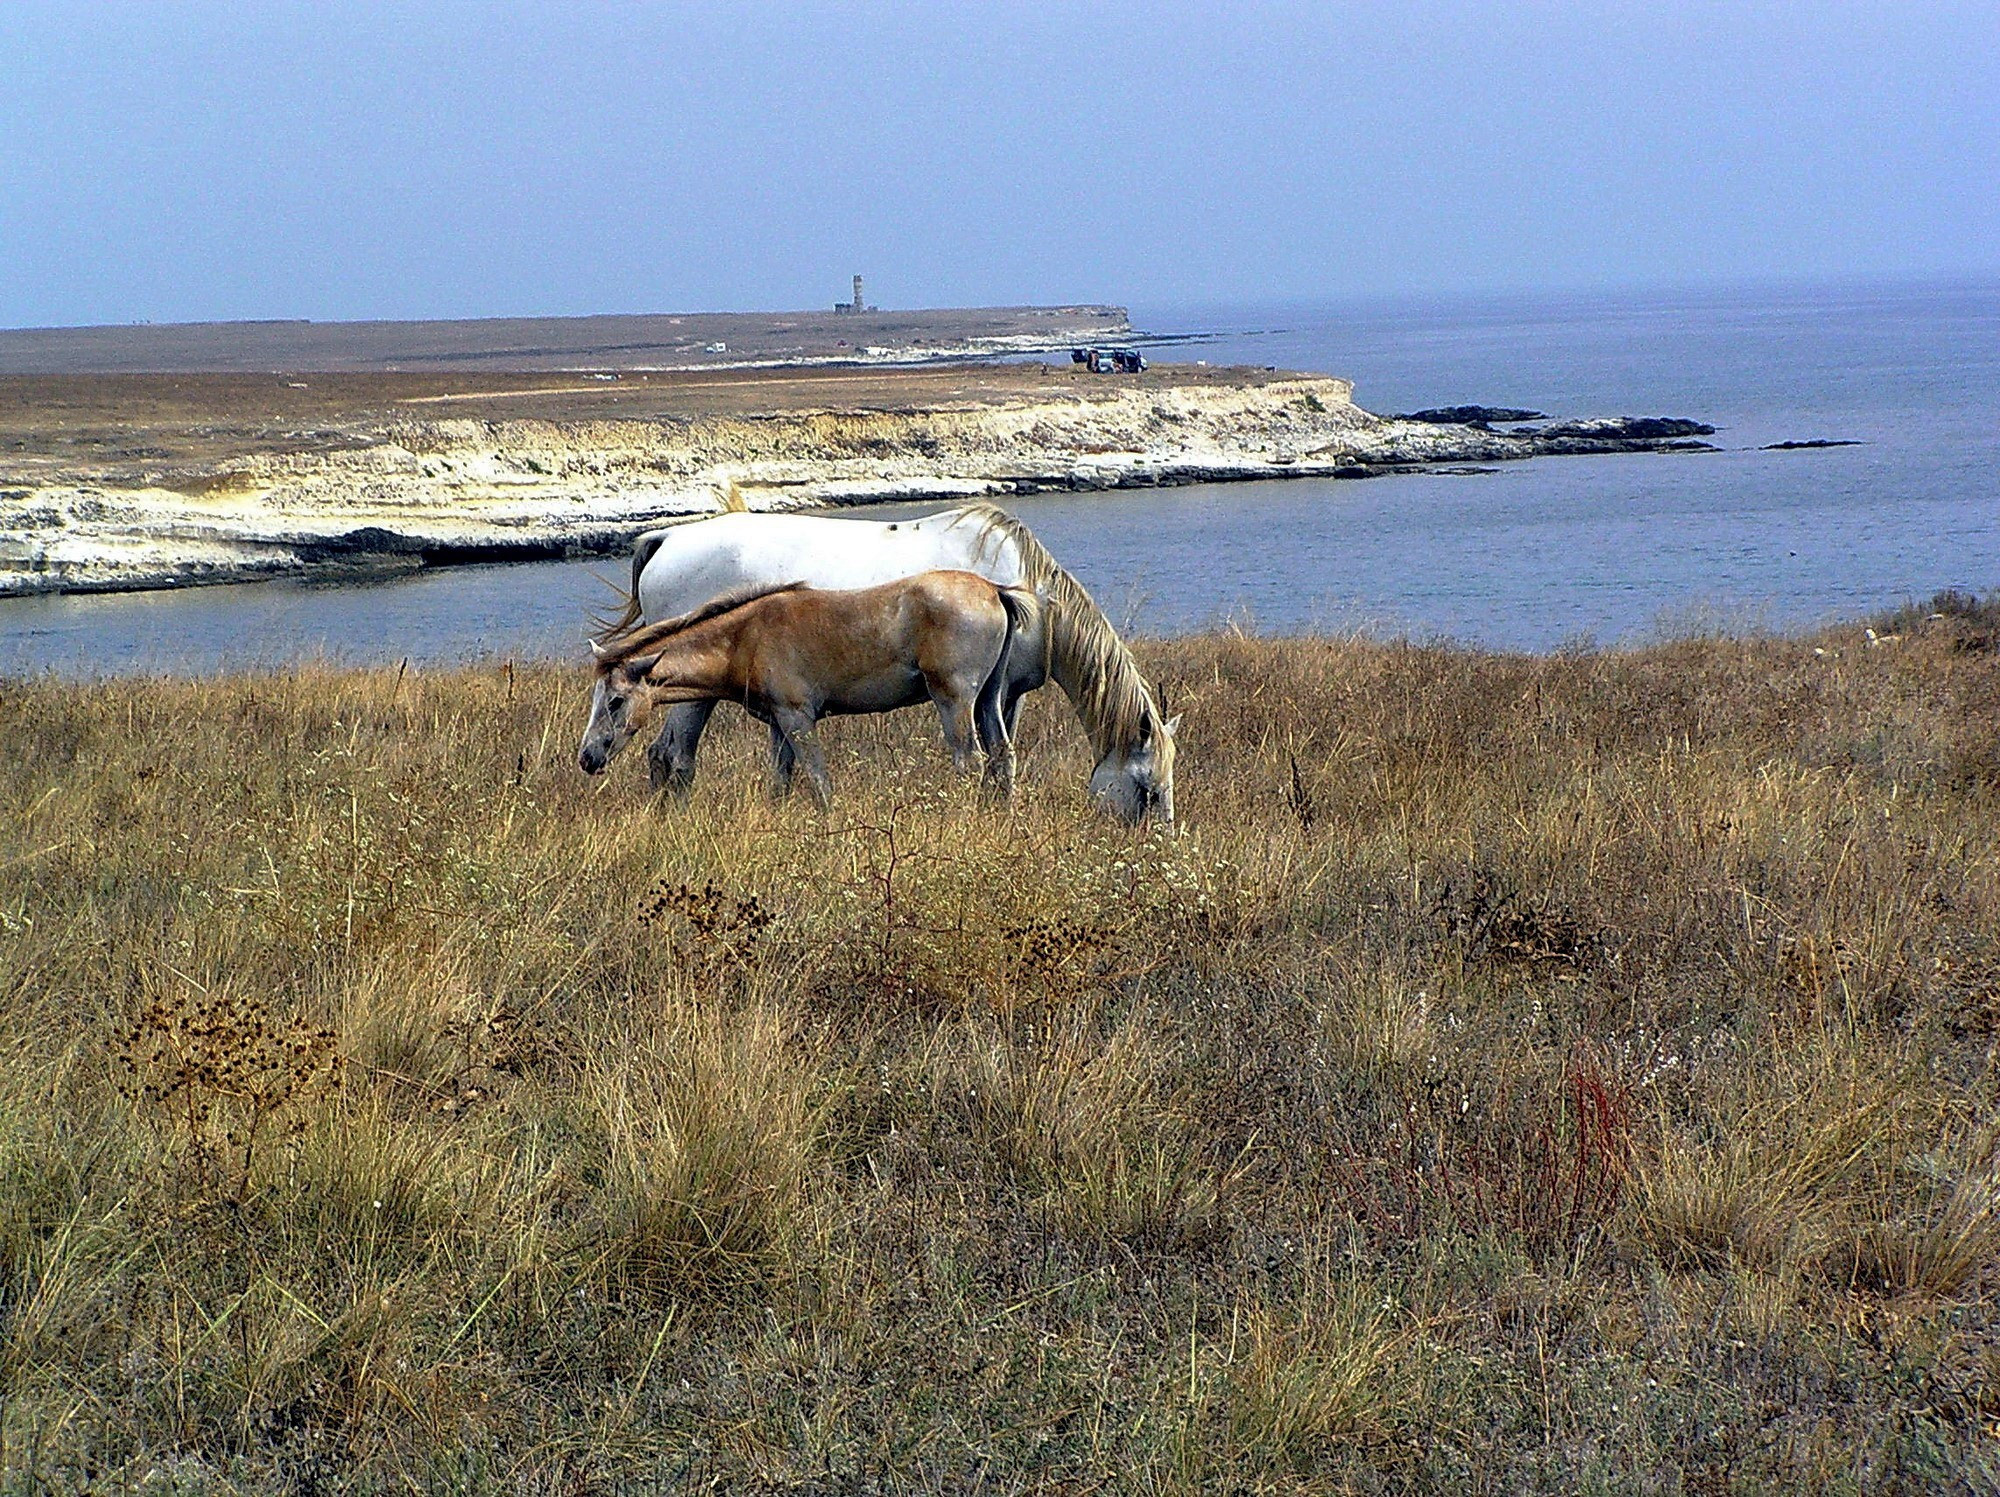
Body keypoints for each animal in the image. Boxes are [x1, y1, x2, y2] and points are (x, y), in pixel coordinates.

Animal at [600, 508, 1176, 824]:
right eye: (1146, 790)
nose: (1159, 851)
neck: (1020, 588)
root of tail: (669, 539)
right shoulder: (999, 692)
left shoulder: (999, 696)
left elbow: (999, 762)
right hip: (690, 694)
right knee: (672, 758)